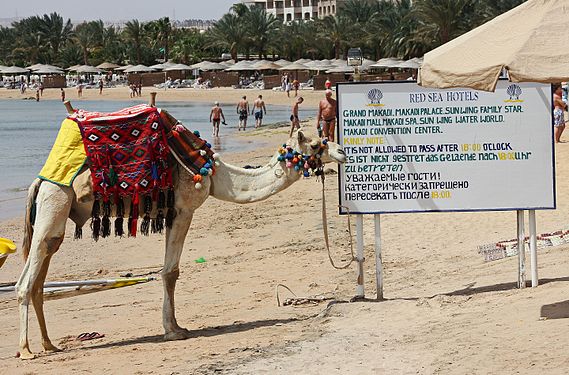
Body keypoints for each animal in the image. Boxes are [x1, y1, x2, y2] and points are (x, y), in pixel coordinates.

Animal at [15, 116, 346, 360]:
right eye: (317, 143)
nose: (342, 151)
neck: (214, 173)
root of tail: (38, 182)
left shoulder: (172, 214)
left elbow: (168, 272)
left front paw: (174, 326)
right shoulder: (184, 209)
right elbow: (171, 272)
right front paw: (173, 331)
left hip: (56, 221)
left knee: (40, 277)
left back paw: (49, 345)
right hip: (54, 204)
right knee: (24, 282)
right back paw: (26, 350)